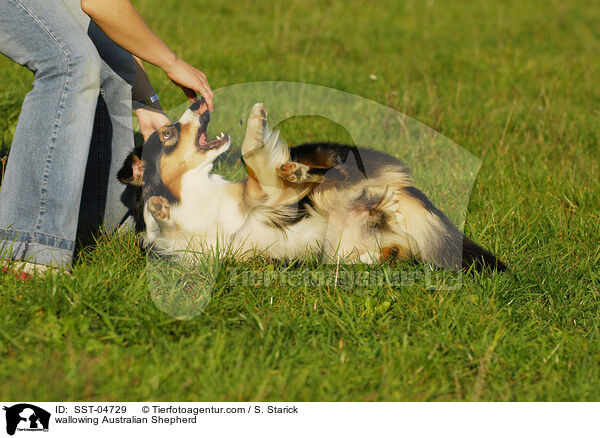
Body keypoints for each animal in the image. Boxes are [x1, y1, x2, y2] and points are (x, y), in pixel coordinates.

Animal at [117, 99, 506, 272]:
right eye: (167, 133)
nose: (199, 101)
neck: (195, 193)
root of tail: (397, 190)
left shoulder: (268, 195)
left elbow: (250, 154)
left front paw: (257, 120)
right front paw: (159, 208)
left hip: (328, 163)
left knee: (331, 173)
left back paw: (300, 170)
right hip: (345, 246)